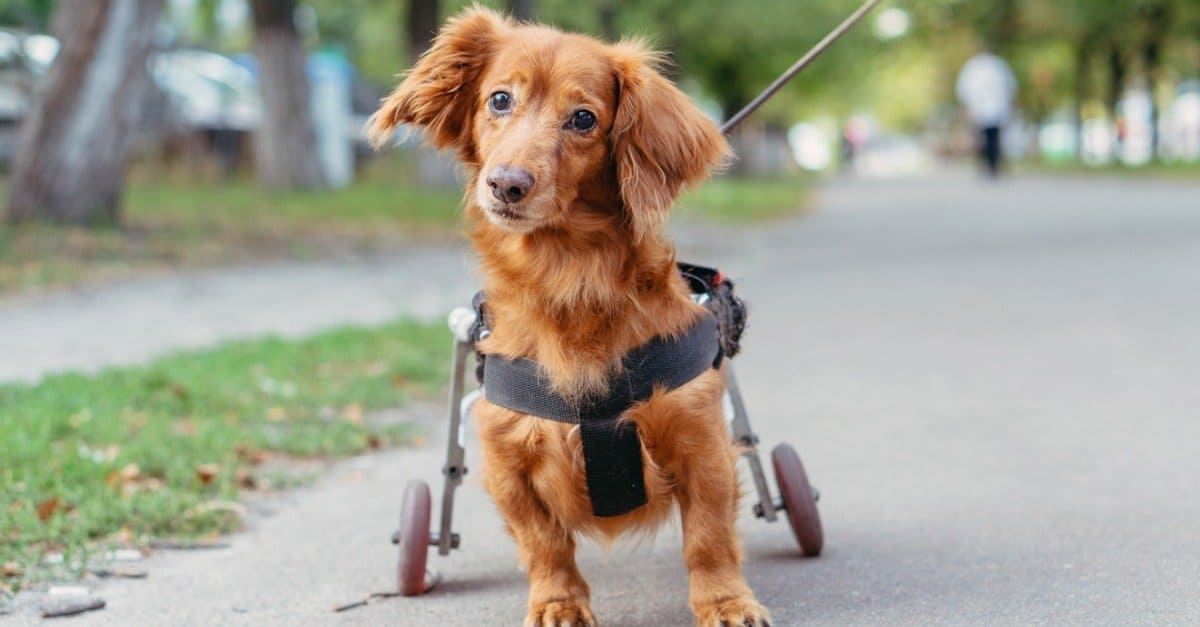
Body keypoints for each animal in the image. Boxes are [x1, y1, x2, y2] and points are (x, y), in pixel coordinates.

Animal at [369, 7, 772, 619]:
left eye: (583, 118)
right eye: (499, 99)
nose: (506, 184)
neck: (569, 282)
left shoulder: (701, 444)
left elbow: (708, 538)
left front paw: (725, 601)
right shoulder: (507, 460)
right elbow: (544, 543)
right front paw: (558, 603)